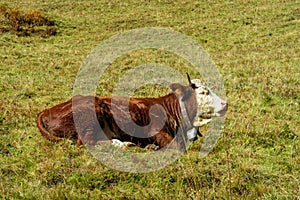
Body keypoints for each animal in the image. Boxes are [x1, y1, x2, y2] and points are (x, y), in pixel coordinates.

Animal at [35, 74, 227, 151]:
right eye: (203, 92)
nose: (225, 104)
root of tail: (47, 110)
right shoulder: (157, 131)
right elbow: (177, 146)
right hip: (91, 117)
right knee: (86, 143)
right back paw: (123, 144)